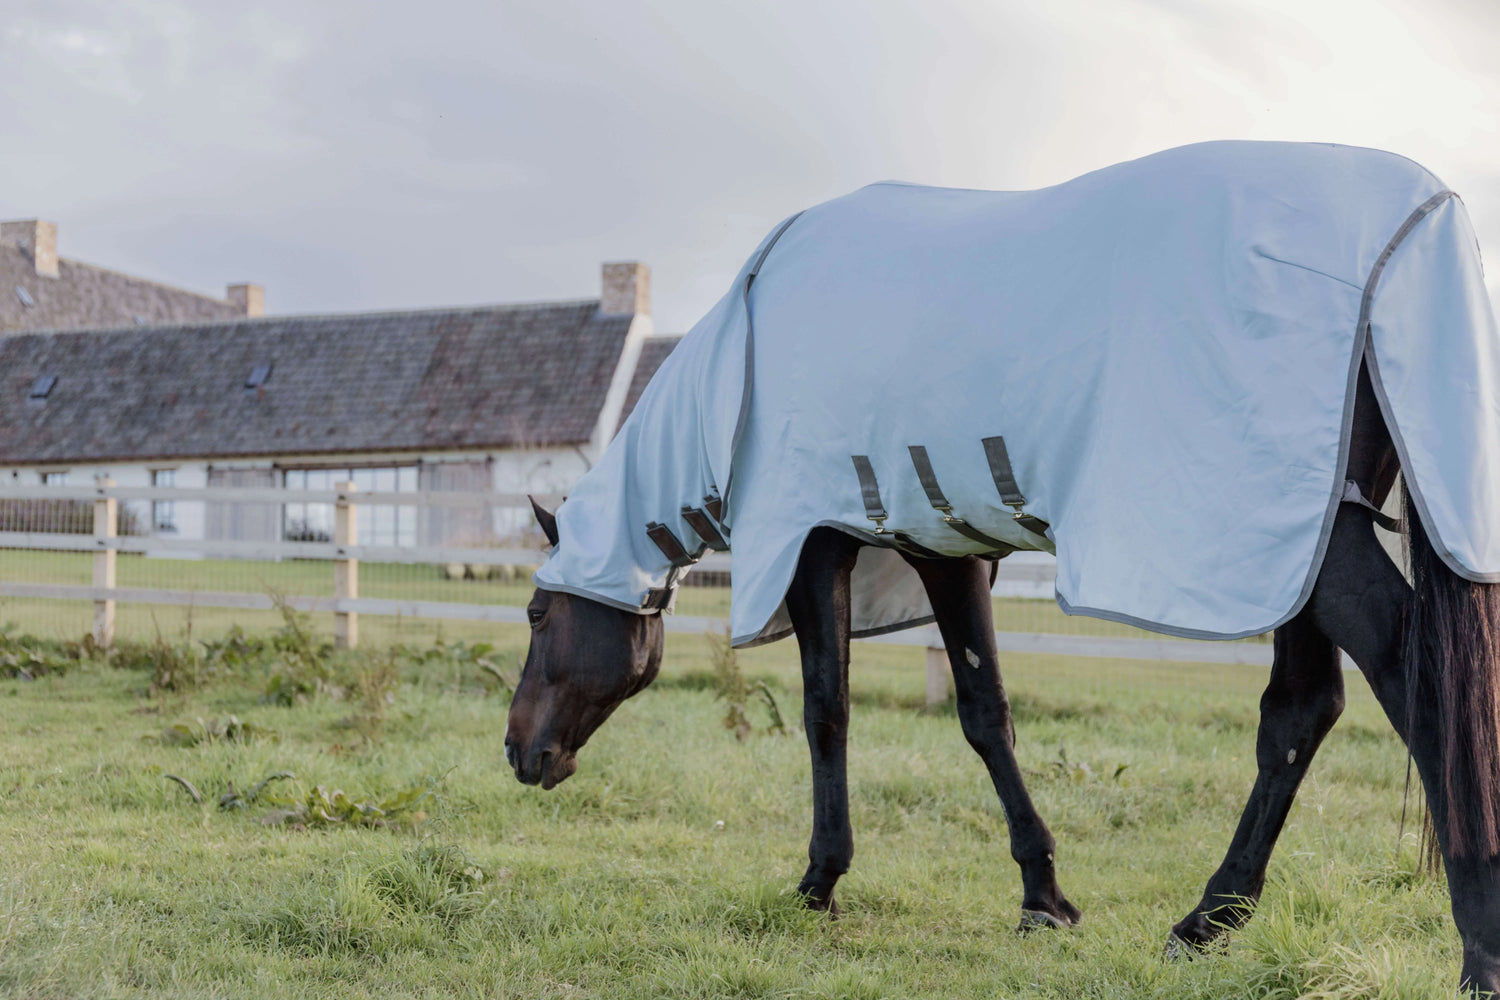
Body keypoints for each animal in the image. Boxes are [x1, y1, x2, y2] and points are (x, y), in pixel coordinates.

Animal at [505, 141, 1500, 994]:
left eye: (535, 615)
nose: (520, 753)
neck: (741, 371)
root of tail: (1420, 222)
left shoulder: (819, 541)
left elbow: (831, 711)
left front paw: (821, 881)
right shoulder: (940, 544)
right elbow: (986, 713)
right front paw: (1043, 896)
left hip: (1311, 545)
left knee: (1419, 689)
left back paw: (1476, 952)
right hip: (1295, 540)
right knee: (1301, 712)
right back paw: (1206, 922)